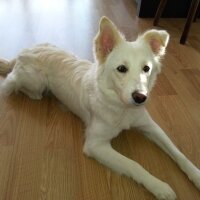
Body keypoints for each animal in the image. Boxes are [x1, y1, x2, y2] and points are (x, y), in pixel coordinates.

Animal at [0, 17, 200, 200]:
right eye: (121, 68)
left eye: (146, 68)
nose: (140, 97)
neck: (122, 109)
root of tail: (23, 52)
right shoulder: (96, 145)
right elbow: (133, 164)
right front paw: (159, 186)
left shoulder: (150, 126)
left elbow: (177, 152)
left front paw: (196, 174)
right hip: (35, 82)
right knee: (13, 83)